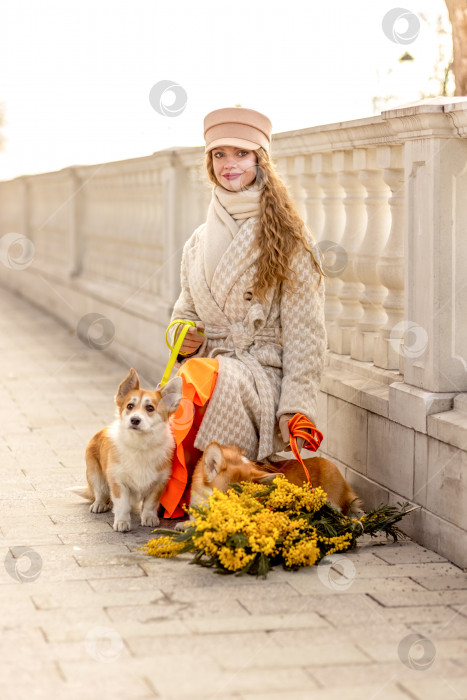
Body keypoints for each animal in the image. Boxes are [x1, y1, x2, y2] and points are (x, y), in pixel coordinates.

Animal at [73, 366, 183, 532]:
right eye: (130, 406)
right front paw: (122, 522)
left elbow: (150, 504)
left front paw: (149, 518)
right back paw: (99, 504)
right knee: (99, 492)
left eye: (150, 408)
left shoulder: (159, 483)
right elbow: (122, 505)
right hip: (95, 474)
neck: (140, 444)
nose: (134, 420)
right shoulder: (118, 482)